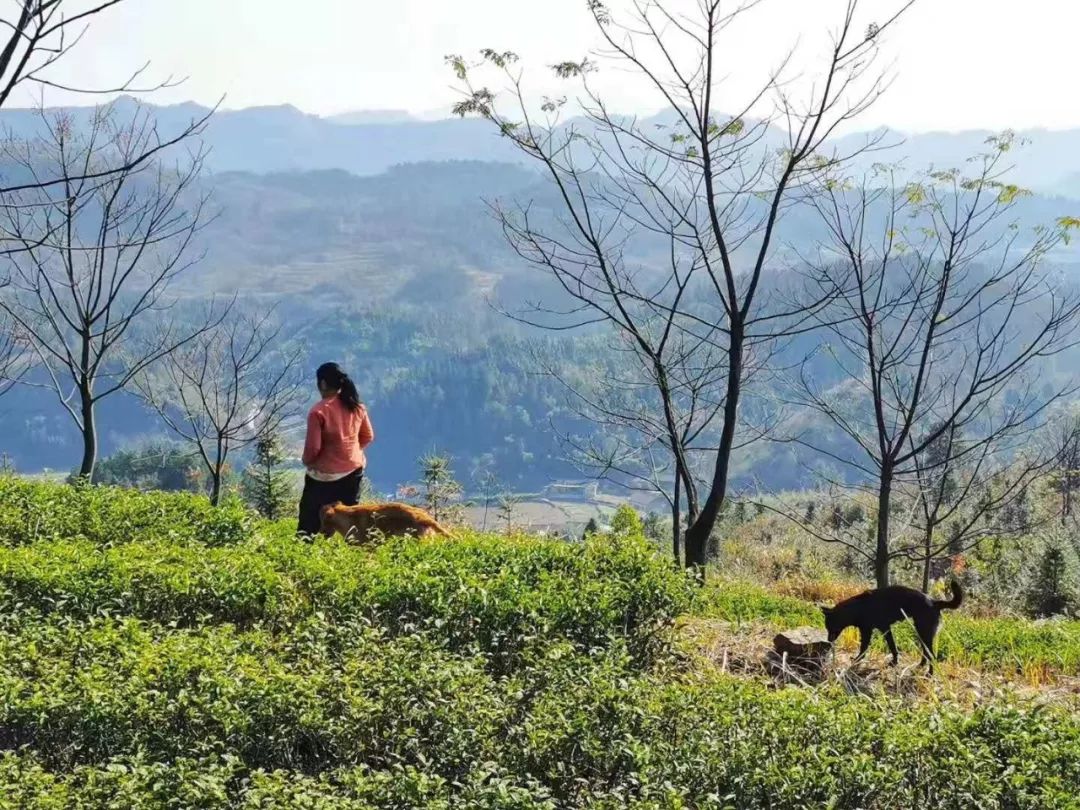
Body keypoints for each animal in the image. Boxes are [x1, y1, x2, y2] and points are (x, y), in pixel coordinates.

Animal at [820, 578, 967, 673]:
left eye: (829, 626)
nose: (828, 640)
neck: (858, 608)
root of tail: (934, 602)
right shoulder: (879, 629)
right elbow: (892, 647)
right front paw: (894, 662)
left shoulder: (875, 630)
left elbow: (867, 648)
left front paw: (857, 660)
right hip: (922, 633)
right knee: (926, 653)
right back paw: (920, 666)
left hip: (924, 632)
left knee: (931, 655)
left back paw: (930, 674)